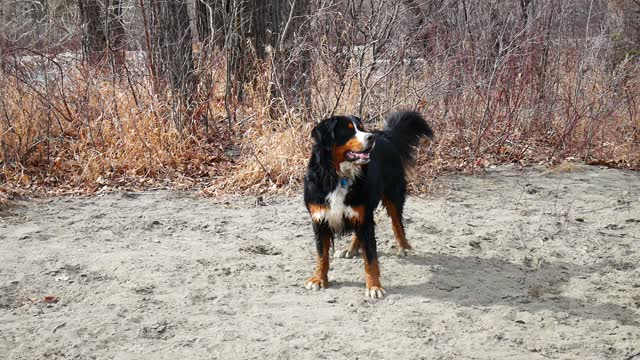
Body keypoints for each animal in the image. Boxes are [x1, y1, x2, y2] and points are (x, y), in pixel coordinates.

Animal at [302, 112, 432, 298]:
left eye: (362, 129)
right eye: (348, 130)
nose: (371, 137)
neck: (338, 176)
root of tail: (385, 136)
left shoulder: (363, 216)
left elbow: (370, 258)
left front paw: (374, 286)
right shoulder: (320, 219)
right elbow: (322, 255)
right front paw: (318, 279)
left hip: (392, 195)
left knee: (397, 222)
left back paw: (404, 246)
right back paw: (351, 249)